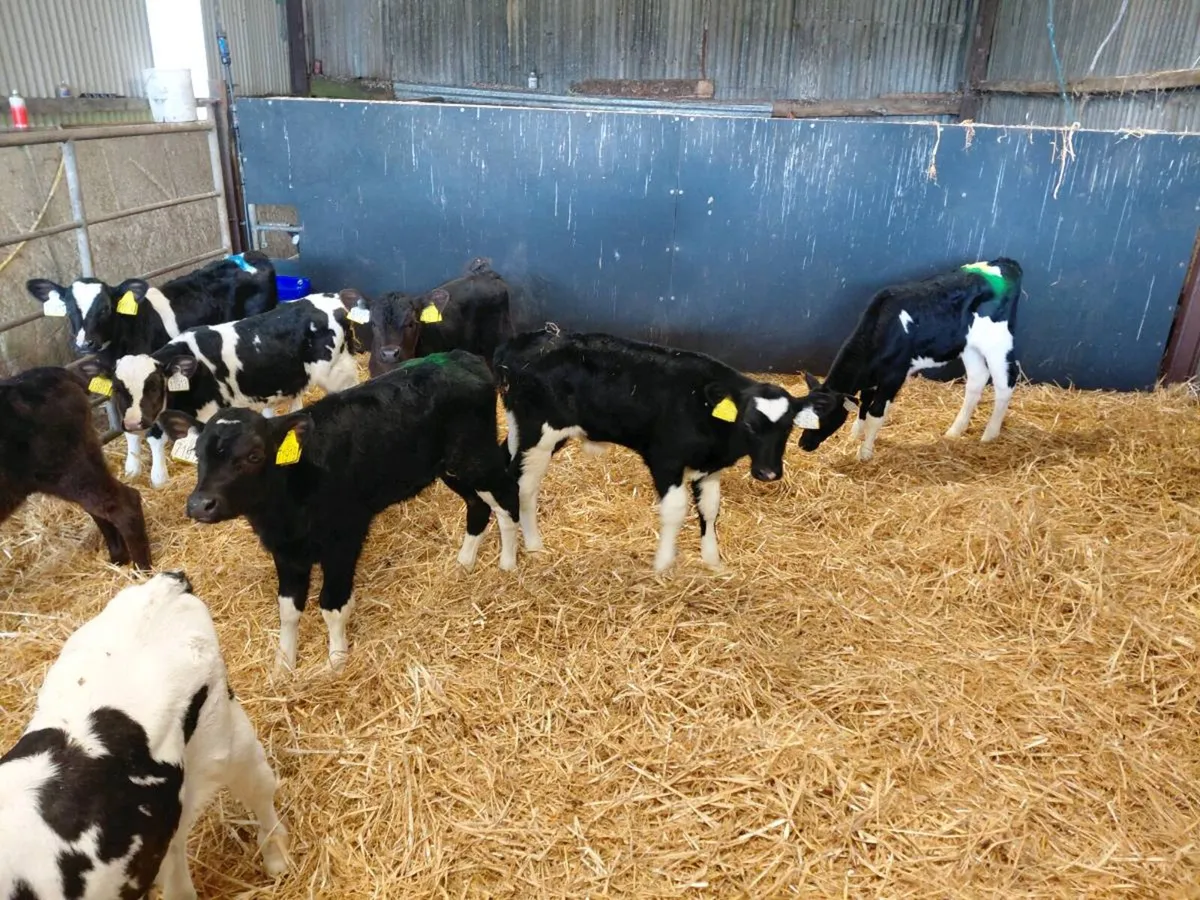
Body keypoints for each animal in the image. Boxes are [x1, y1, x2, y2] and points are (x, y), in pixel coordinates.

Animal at [82, 294, 360, 488]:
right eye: (117, 389)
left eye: (153, 386)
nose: (134, 422)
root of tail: (334, 299)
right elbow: (147, 438)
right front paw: (138, 469)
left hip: (337, 372)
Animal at [157, 350, 520, 672]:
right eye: (198, 453)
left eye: (254, 455)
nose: (200, 504)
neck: (286, 508)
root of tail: (461, 356)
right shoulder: (286, 551)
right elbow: (288, 609)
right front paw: (283, 665)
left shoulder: (344, 539)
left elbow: (332, 605)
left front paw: (336, 661)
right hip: (450, 468)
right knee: (477, 505)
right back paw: (464, 563)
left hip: (476, 458)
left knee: (506, 498)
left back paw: (507, 563)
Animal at [494, 330, 804, 573]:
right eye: (750, 424)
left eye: (789, 427)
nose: (768, 473)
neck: (702, 406)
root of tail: (522, 342)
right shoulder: (665, 460)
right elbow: (675, 509)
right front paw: (663, 564)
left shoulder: (709, 468)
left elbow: (710, 508)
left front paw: (712, 560)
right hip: (539, 435)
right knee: (522, 487)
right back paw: (528, 549)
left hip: (528, 433)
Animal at [792, 257, 1024, 461]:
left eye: (823, 418)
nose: (803, 444)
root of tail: (1006, 263)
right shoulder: (871, 378)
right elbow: (863, 406)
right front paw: (854, 435)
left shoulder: (894, 376)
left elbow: (875, 414)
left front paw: (865, 452)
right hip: (969, 346)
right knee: (977, 379)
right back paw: (954, 431)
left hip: (999, 342)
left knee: (1005, 384)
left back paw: (989, 435)